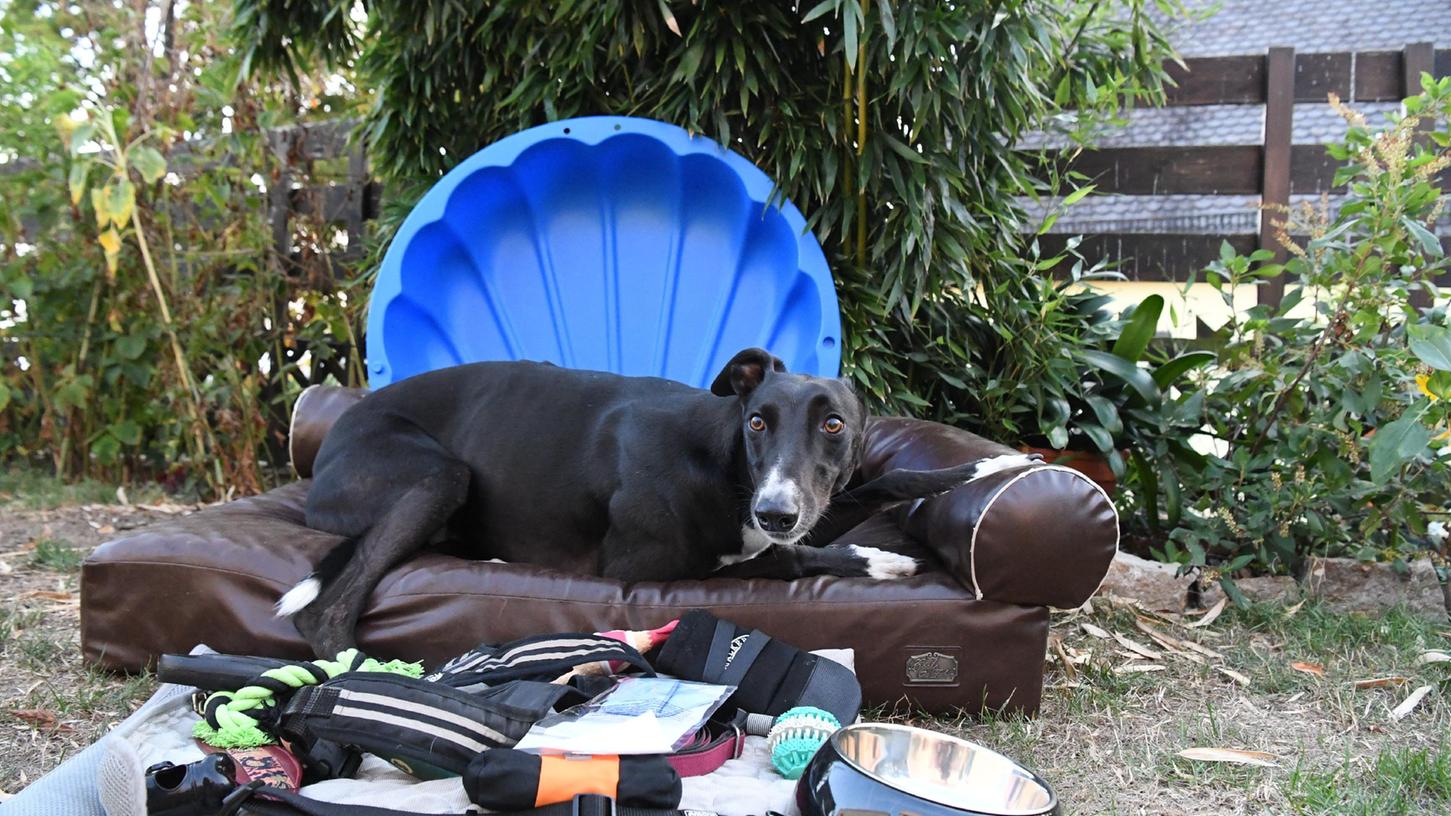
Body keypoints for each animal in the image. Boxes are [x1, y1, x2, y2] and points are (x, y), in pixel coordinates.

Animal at [277, 345, 1038, 650]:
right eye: (757, 421)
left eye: (834, 425)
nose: (775, 512)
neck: (723, 462)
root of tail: (333, 436)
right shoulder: (646, 565)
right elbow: (787, 559)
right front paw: (886, 563)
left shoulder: (809, 509)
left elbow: (888, 481)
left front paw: (1000, 461)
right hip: (436, 476)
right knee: (328, 610)